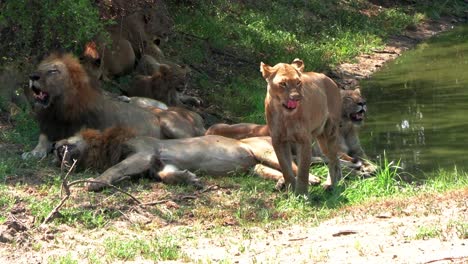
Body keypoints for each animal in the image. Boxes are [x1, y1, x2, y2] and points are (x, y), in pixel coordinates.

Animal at [22, 52, 204, 158]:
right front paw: (33, 153)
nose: (32, 76)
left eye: (53, 71)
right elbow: (42, 140)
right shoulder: (49, 126)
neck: (58, 107)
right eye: (39, 68)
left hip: (171, 124)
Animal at [262, 58, 342, 194]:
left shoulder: (304, 140)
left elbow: (303, 169)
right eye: (283, 84)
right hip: (321, 139)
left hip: (330, 131)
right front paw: (291, 190)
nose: (296, 97)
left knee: (333, 159)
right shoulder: (278, 141)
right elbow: (285, 167)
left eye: (298, 82)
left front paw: (301, 193)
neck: (285, 117)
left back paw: (330, 184)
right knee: (334, 158)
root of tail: (329, 78)